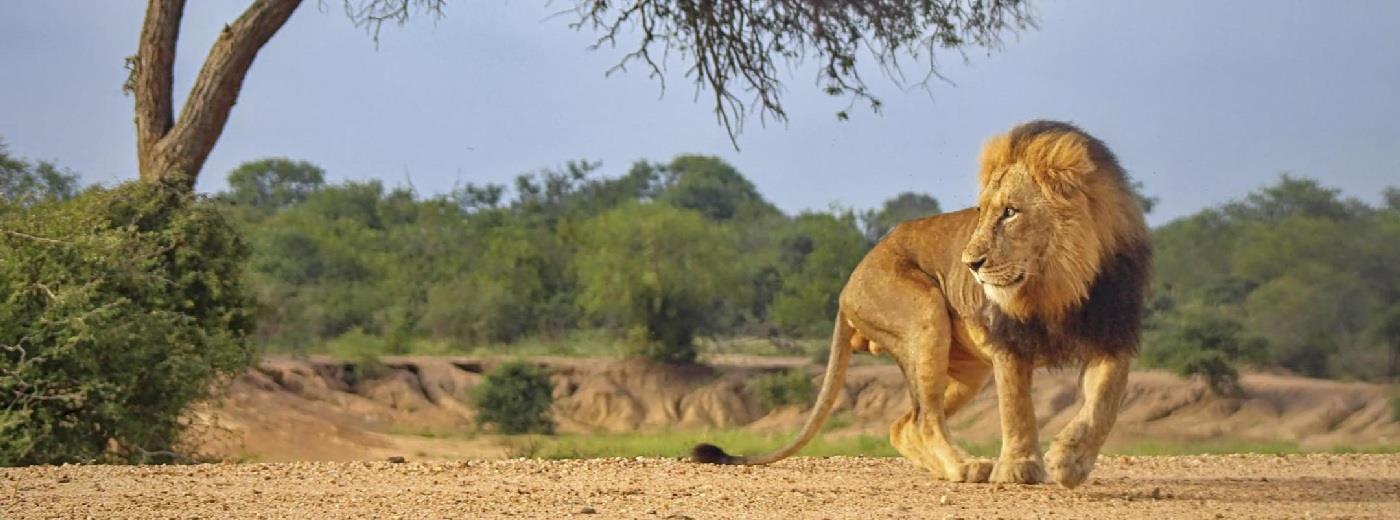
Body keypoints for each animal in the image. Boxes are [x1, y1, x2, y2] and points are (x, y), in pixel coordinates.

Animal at [694, 121, 1153, 487]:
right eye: (981, 212)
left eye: (1011, 212)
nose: (970, 264)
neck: (1059, 283)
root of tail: (848, 285)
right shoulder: (1008, 343)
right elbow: (1017, 408)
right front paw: (1020, 468)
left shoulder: (1113, 336)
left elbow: (1103, 405)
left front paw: (1070, 462)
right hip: (924, 314)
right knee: (924, 418)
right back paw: (966, 467)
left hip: (967, 370)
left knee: (903, 425)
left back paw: (954, 467)